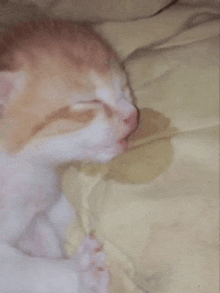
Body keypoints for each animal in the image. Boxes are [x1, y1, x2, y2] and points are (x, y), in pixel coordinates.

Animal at [0, 18, 138, 292]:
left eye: (124, 88)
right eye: (89, 102)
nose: (133, 115)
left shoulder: (36, 208)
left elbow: (48, 228)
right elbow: (23, 269)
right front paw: (82, 272)